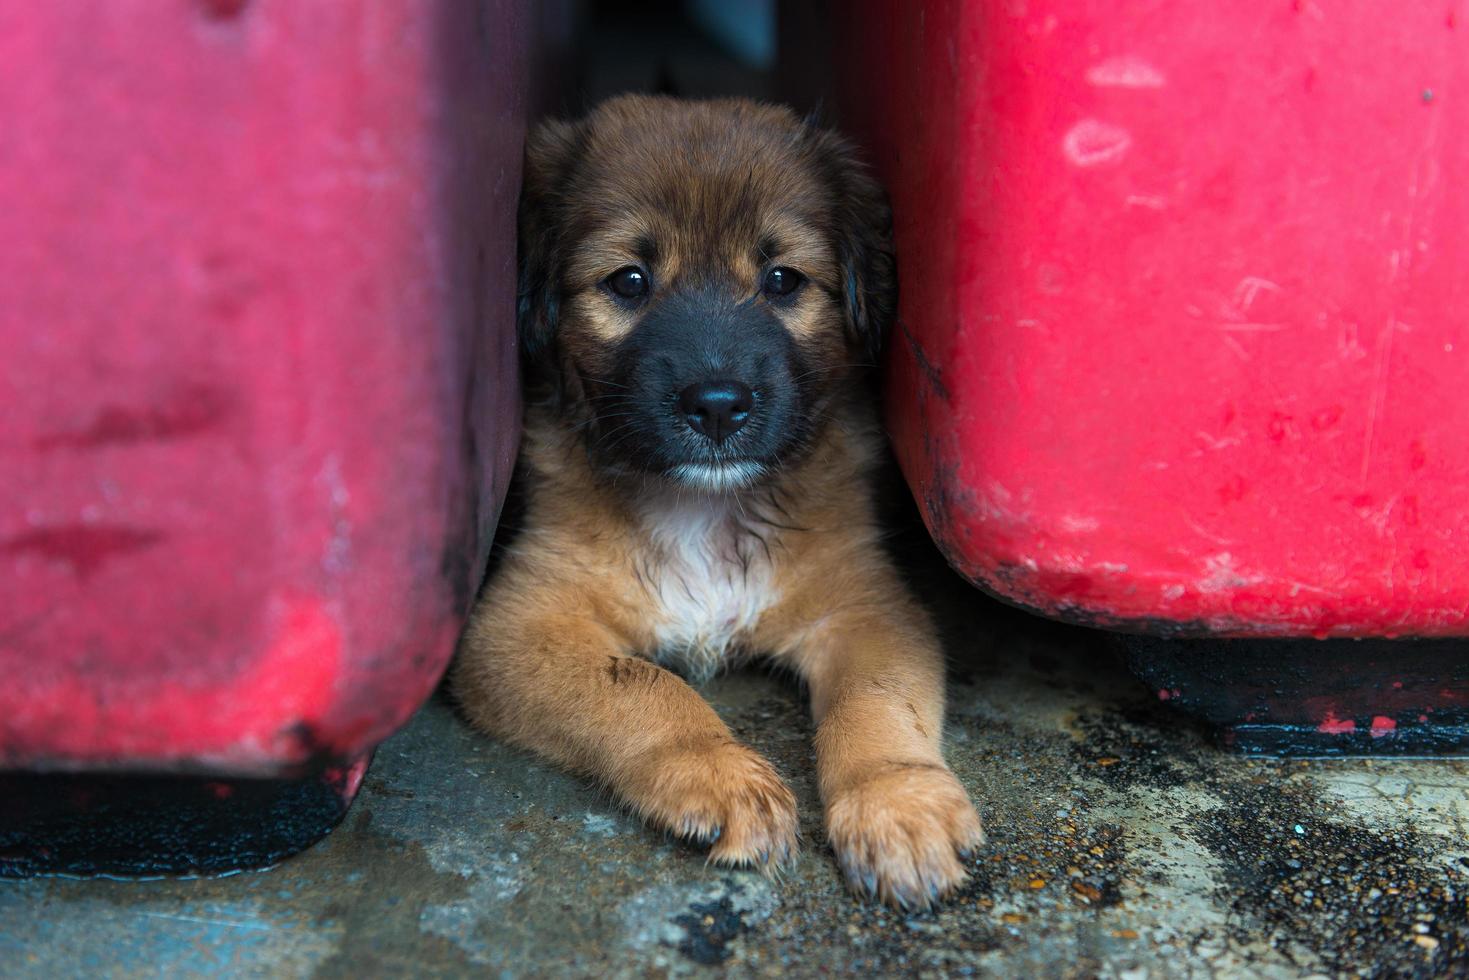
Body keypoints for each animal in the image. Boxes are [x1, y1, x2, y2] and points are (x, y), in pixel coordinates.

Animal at [455, 95, 987, 910]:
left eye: (782, 279)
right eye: (629, 280)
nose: (716, 406)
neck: (704, 509)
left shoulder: (867, 610)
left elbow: (875, 702)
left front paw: (898, 803)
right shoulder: (516, 627)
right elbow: (643, 686)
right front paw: (718, 773)